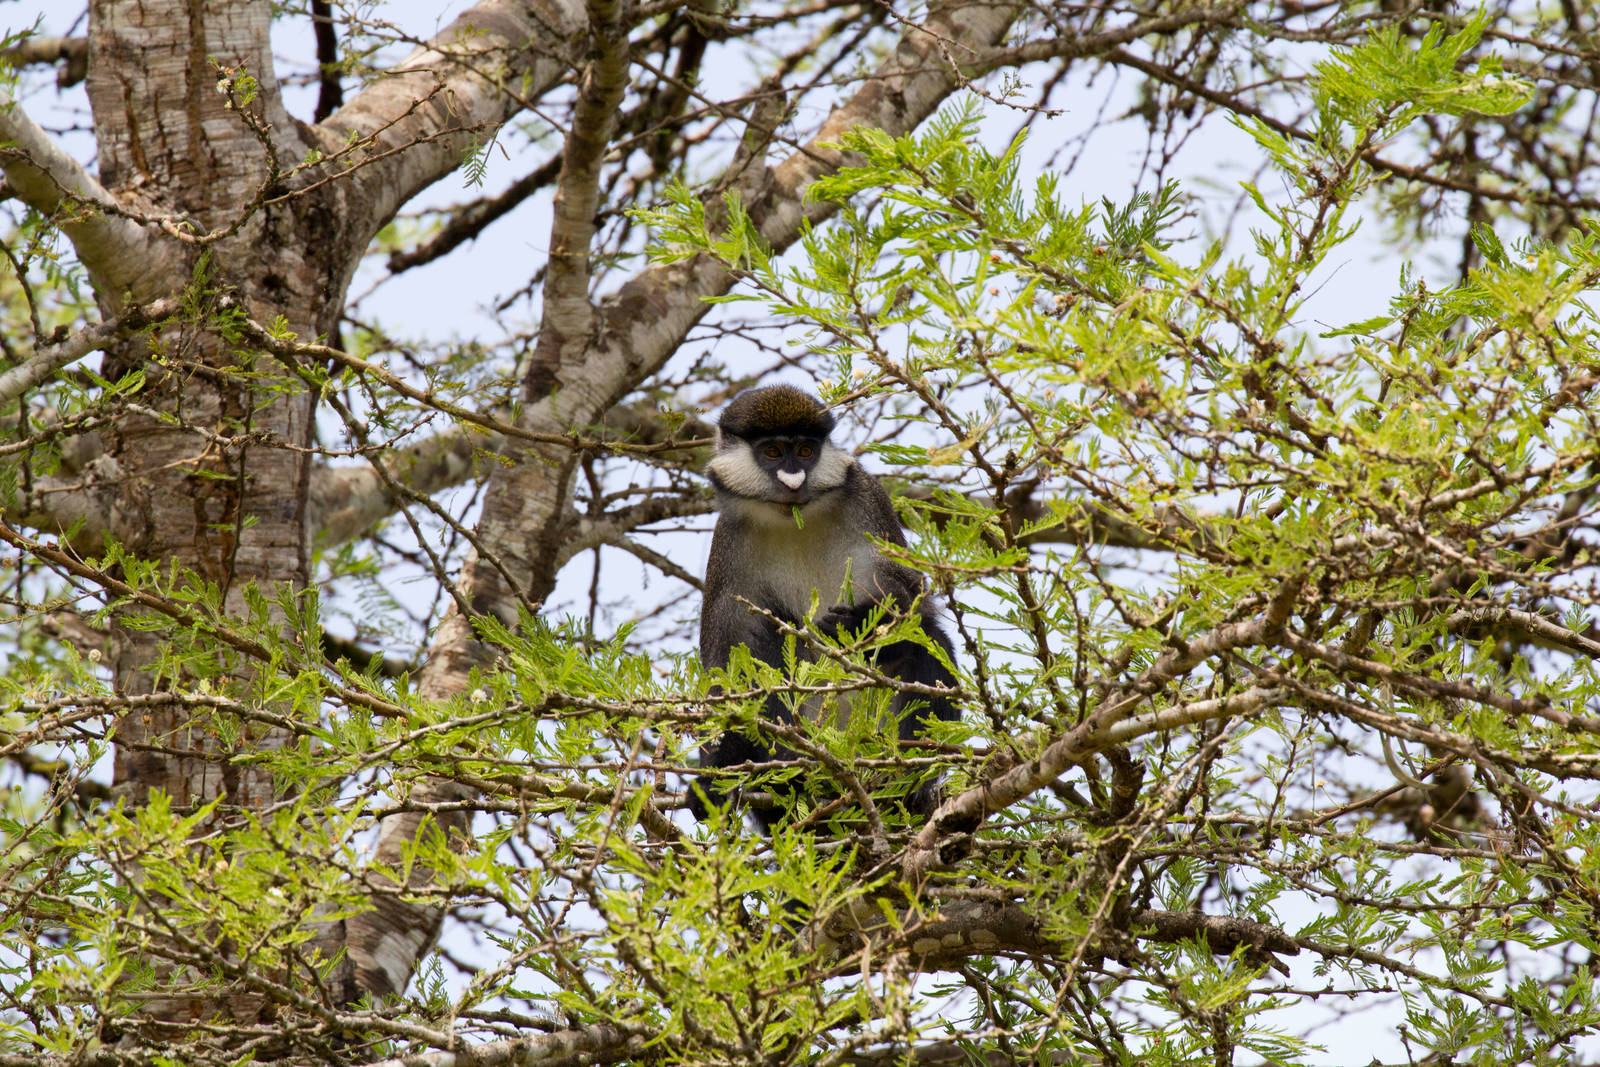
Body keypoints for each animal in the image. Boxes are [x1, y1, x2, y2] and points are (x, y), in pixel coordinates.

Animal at [689, 384, 959, 831]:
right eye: (773, 452)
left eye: (806, 450)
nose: (794, 480)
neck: (794, 517)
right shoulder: (726, 549)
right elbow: (730, 665)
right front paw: (712, 781)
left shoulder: (868, 499)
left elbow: (912, 599)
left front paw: (861, 623)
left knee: (929, 642)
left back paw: (906, 784)